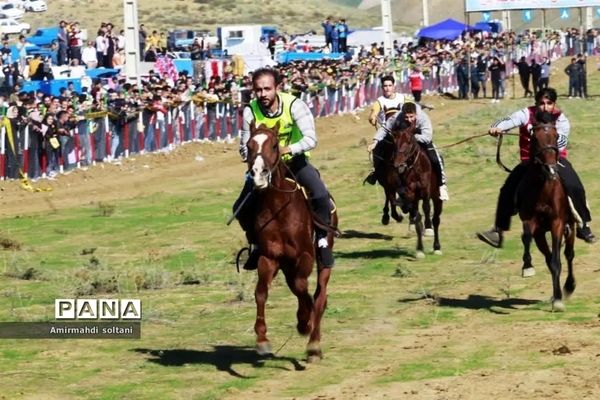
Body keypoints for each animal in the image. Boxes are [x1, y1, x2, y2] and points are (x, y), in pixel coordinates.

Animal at [244, 122, 338, 362]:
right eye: (248, 146)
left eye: (274, 145)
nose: (258, 174)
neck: (278, 207)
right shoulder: (269, 257)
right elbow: (261, 292)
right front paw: (262, 339)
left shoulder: (304, 256)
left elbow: (302, 288)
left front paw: (305, 322)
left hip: (323, 258)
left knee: (320, 296)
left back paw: (314, 345)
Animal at [392, 122, 442, 260]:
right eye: (395, 141)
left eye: (409, 141)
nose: (398, 164)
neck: (415, 169)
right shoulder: (411, 196)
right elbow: (417, 219)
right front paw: (419, 250)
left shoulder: (425, 193)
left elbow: (426, 210)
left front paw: (428, 228)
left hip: (437, 197)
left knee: (436, 219)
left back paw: (437, 247)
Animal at [516, 119, 576, 312]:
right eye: (535, 138)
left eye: (556, 136)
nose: (551, 170)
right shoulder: (531, 223)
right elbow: (526, 238)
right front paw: (527, 266)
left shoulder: (557, 223)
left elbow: (557, 261)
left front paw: (558, 301)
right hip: (542, 234)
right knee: (550, 258)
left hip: (570, 227)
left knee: (568, 255)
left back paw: (568, 287)